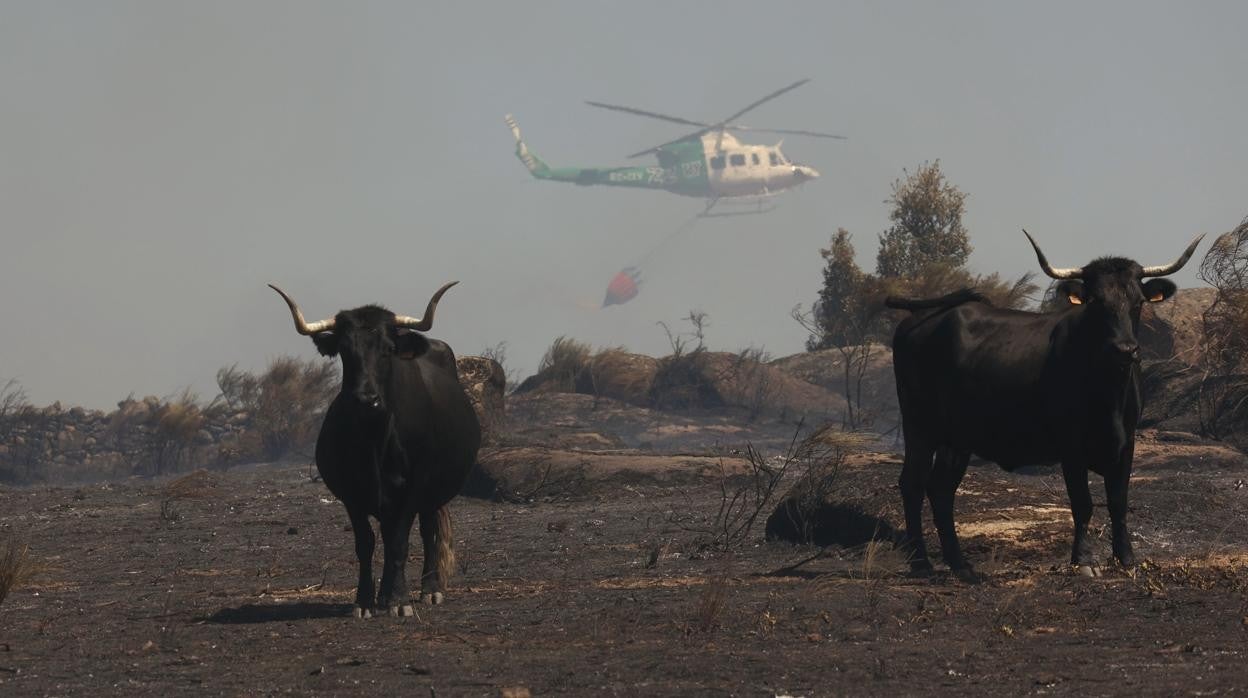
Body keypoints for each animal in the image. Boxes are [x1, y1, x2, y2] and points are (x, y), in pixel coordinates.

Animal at [270, 280, 479, 619]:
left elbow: (399, 543)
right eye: (345, 350)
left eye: (387, 350)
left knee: (427, 532)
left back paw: (429, 590)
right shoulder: (352, 493)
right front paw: (365, 601)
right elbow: (366, 543)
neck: (376, 439)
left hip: (430, 494)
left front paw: (400, 601)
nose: (366, 399)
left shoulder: (414, 488)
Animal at [883, 231, 1203, 579]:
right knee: (913, 484)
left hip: (957, 438)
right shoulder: (1071, 444)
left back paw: (961, 565)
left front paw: (1126, 558)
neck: (1110, 395)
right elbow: (1082, 503)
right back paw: (921, 563)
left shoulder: (1127, 441)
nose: (1125, 349)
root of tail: (925, 315)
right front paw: (1084, 560)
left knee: (941, 489)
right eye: (1096, 302)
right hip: (919, 425)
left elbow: (1118, 500)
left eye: (1138, 302)